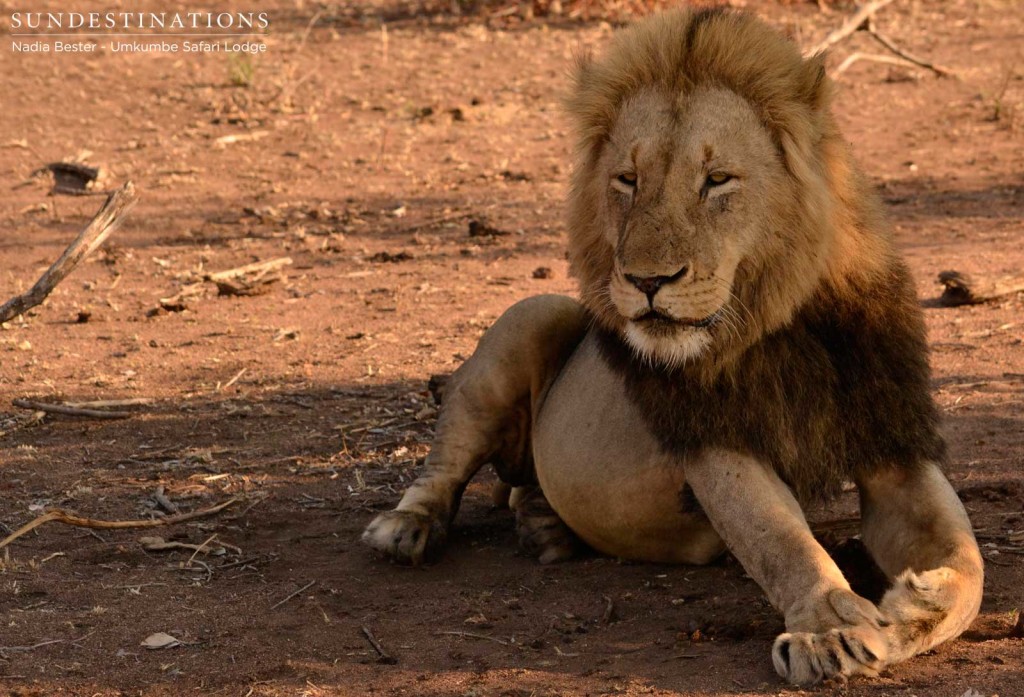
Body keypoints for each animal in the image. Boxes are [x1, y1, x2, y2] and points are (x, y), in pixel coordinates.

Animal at [362, 9, 983, 683]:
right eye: (627, 180)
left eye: (717, 181)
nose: (646, 281)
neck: (784, 323)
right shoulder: (712, 436)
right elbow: (781, 539)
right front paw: (828, 629)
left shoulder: (891, 437)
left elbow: (969, 563)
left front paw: (913, 609)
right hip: (532, 315)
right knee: (445, 462)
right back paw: (406, 528)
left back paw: (543, 524)